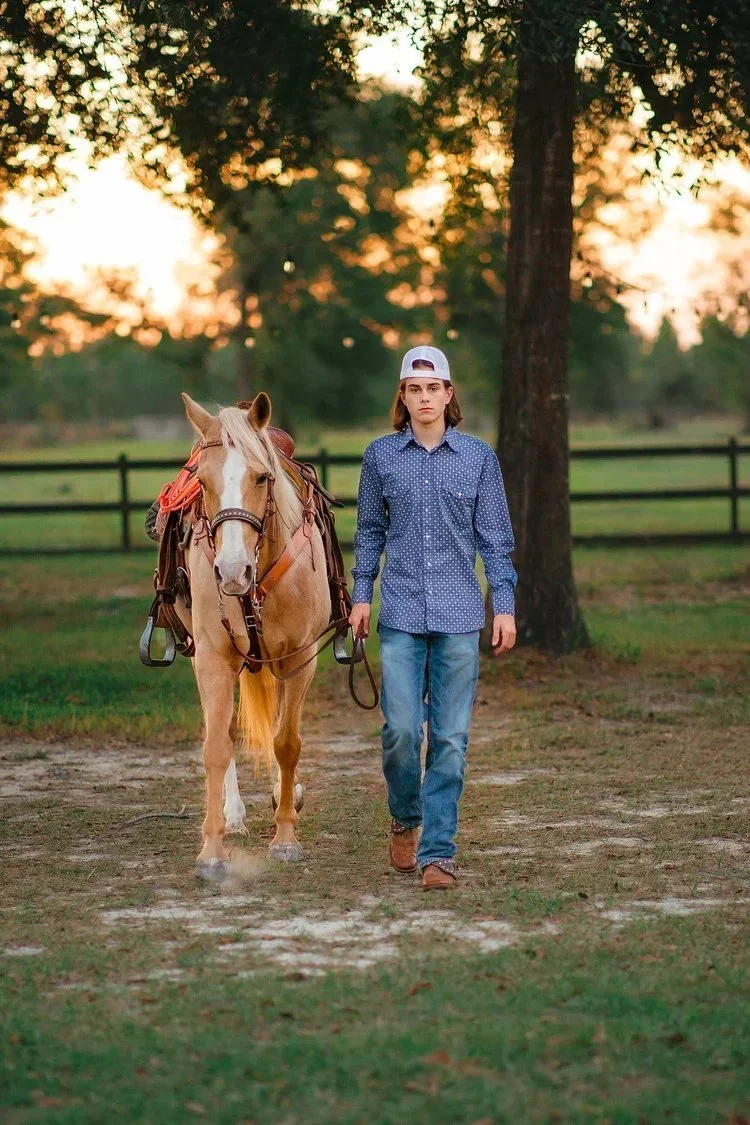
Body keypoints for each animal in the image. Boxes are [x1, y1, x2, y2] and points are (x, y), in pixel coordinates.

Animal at [176, 392, 331, 877]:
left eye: (262, 477)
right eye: (201, 481)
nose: (231, 571)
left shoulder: (299, 659)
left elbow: (286, 743)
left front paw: (285, 839)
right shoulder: (212, 659)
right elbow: (216, 746)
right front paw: (211, 849)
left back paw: (289, 795)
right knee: (225, 730)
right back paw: (235, 815)